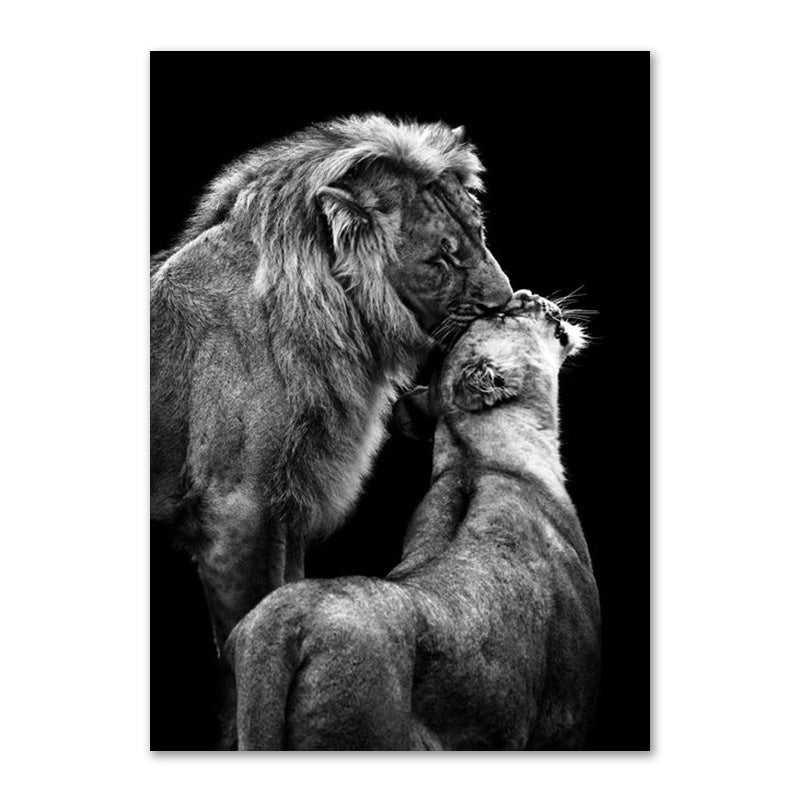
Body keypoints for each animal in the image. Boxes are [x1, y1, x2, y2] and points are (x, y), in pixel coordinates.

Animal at [151, 115, 513, 652]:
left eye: (479, 232)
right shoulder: (234, 509)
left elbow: (285, 592)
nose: (505, 302)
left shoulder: (287, 507)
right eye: (439, 260)